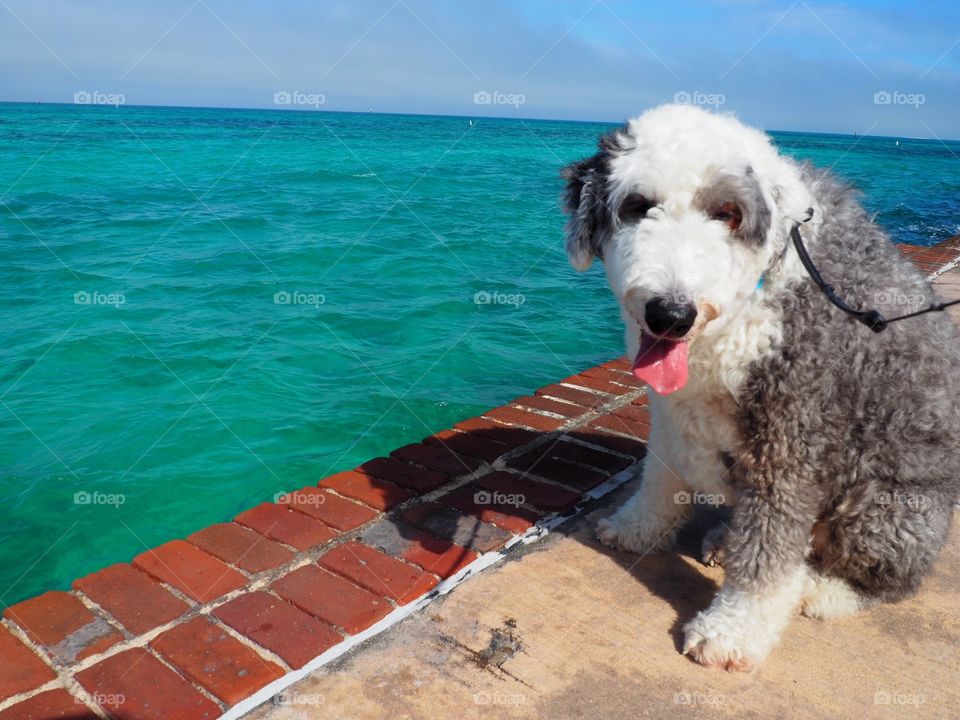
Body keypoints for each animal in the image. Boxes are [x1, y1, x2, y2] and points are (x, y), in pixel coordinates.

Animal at [564, 104, 960, 672]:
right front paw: (638, 527)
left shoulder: (792, 434)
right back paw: (723, 539)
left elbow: (768, 549)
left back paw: (819, 589)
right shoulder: (670, 405)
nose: (670, 314)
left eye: (727, 213)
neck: (753, 289)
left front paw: (732, 632)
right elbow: (660, 474)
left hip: (888, 506)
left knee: (886, 579)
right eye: (638, 206)